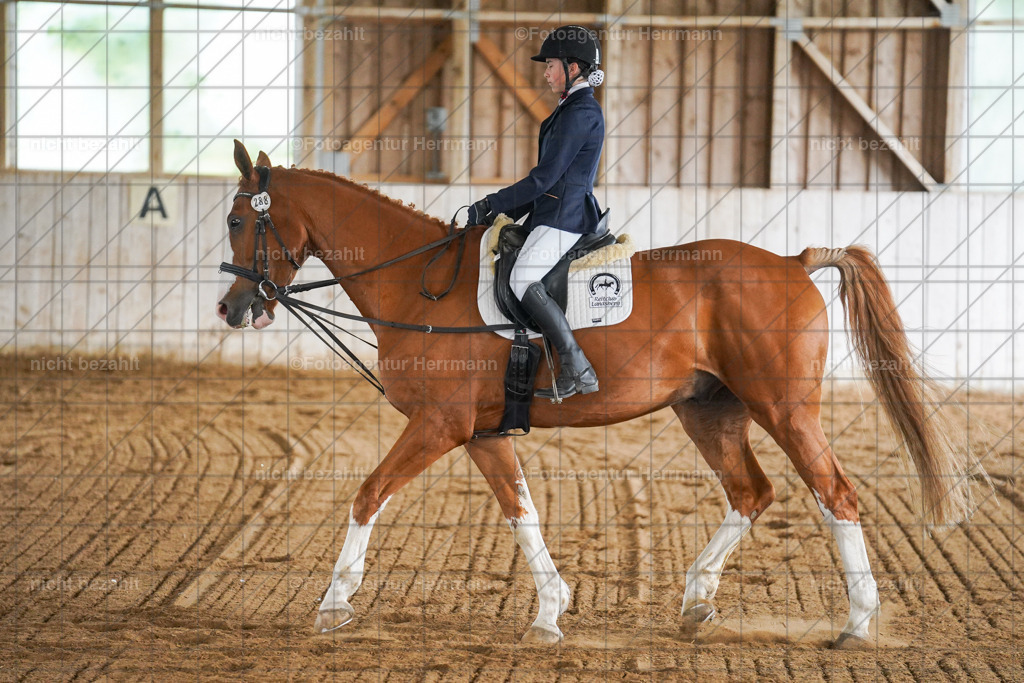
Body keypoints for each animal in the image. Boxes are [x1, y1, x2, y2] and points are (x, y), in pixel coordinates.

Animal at [217, 141, 979, 648]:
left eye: (237, 220)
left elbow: (367, 493)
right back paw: (696, 600)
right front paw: (550, 611)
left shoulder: (439, 423)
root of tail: (794, 262)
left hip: (785, 409)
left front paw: (332, 603)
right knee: (751, 491)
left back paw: (856, 623)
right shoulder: (481, 433)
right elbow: (521, 513)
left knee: (835, 494)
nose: (231, 308)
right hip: (709, 409)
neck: (420, 283)